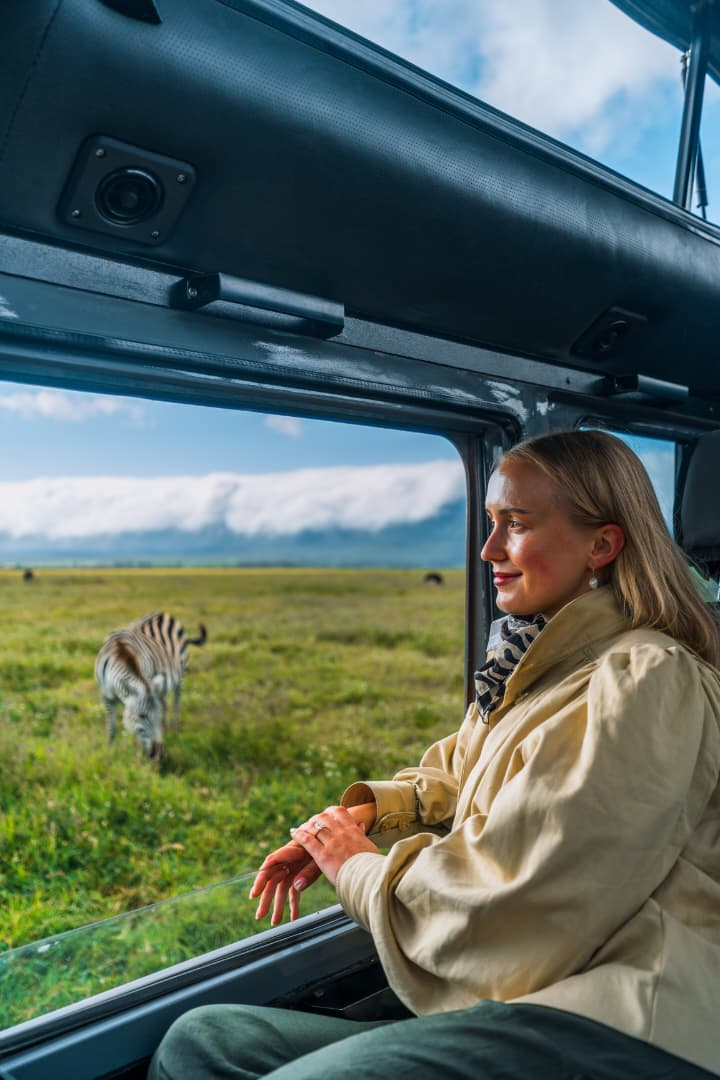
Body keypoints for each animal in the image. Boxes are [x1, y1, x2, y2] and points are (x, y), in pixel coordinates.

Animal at [95, 612, 207, 759]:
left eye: (154, 715)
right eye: (142, 716)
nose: (158, 753)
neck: (120, 652)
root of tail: (163, 614)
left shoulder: (148, 681)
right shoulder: (106, 696)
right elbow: (112, 727)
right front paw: (110, 751)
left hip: (180, 676)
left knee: (176, 705)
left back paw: (176, 734)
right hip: (161, 686)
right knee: (165, 705)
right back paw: (167, 730)